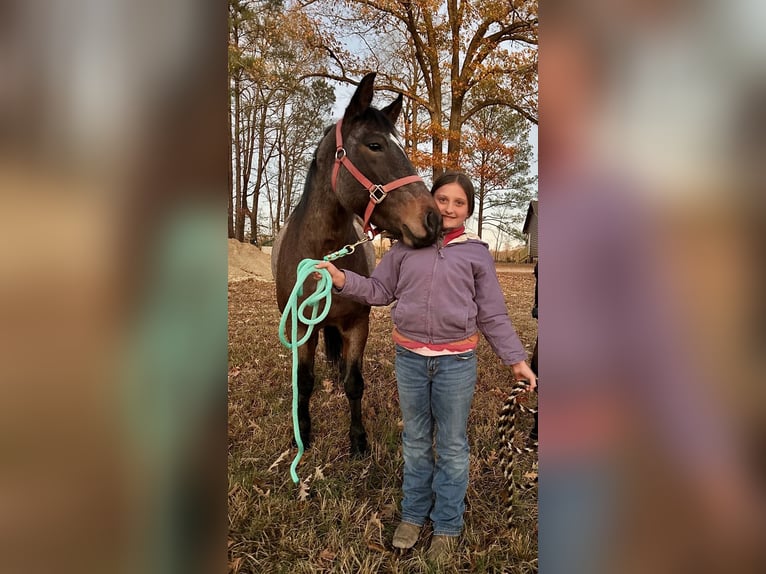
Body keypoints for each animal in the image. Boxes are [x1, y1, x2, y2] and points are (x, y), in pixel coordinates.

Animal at [273, 72, 441, 457]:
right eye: (375, 145)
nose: (433, 219)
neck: (321, 256)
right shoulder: (301, 329)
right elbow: (304, 382)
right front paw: (303, 433)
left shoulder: (356, 325)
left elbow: (354, 383)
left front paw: (358, 438)